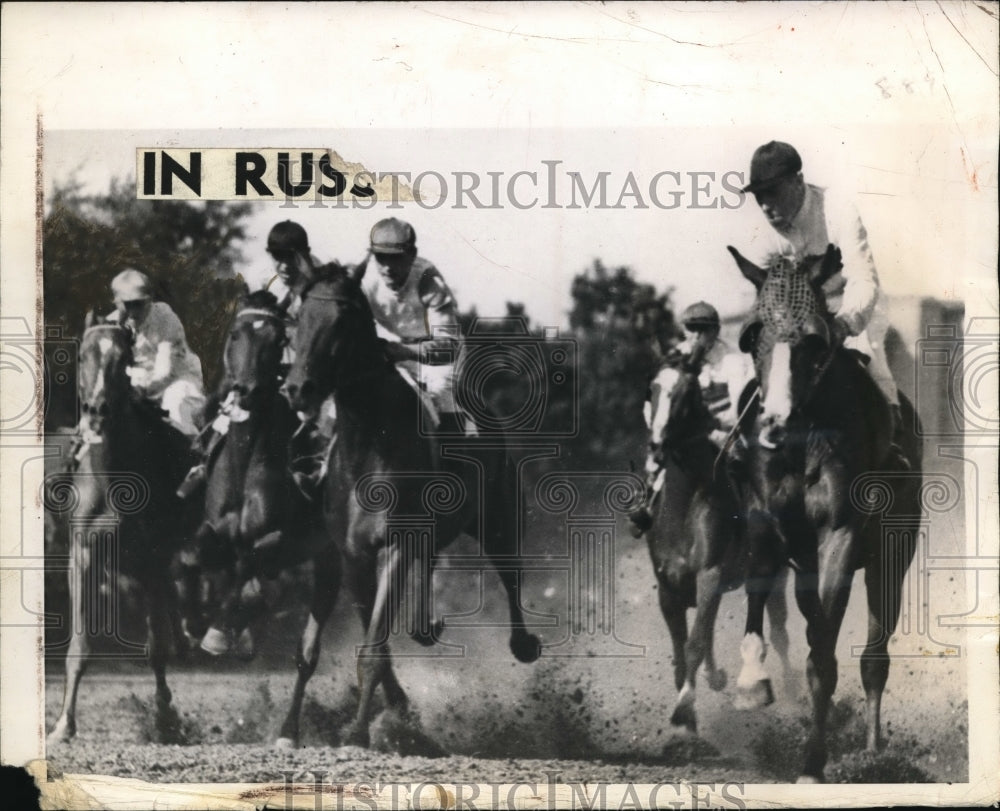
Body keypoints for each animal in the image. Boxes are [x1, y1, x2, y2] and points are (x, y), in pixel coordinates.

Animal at [46, 314, 199, 744]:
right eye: (82, 355)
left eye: (123, 360)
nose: (96, 409)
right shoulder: (82, 554)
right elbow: (79, 647)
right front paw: (63, 725)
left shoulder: (151, 557)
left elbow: (156, 648)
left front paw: (165, 719)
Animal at [191, 288, 324, 656]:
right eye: (236, 334)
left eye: (278, 340)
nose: (247, 390)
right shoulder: (213, 525)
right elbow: (199, 554)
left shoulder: (276, 535)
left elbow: (251, 562)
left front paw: (220, 632)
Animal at [278, 264, 540, 748]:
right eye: (300, 317)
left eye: (343, 321)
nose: (299, 387)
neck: (368, 442)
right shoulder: (353, 554)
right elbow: (368, 640)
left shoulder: (397, 542)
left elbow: (374, 648)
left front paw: (359, 732)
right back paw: (425, 628)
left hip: (497, 517)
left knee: (511, 573)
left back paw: (523, 642)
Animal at [644, 340, 792, 732]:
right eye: (652, 389)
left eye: (684, 394)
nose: (656, 446)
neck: (685, 507)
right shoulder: (668, 585)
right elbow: (682, 648)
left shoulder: (709, 575)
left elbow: (695, 642)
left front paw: (684, 711)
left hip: (774, 572)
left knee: (779, 631)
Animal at [724, 244, 924, 784]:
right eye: (753, 334)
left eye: (814, 339)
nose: (773, 423)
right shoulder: (764, 520)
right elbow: (760, 590)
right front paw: (752, 683)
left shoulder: (840, 534)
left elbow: (826, 653)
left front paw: (813, 762)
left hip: (893, 554)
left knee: (874, 655)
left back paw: (873, 752)